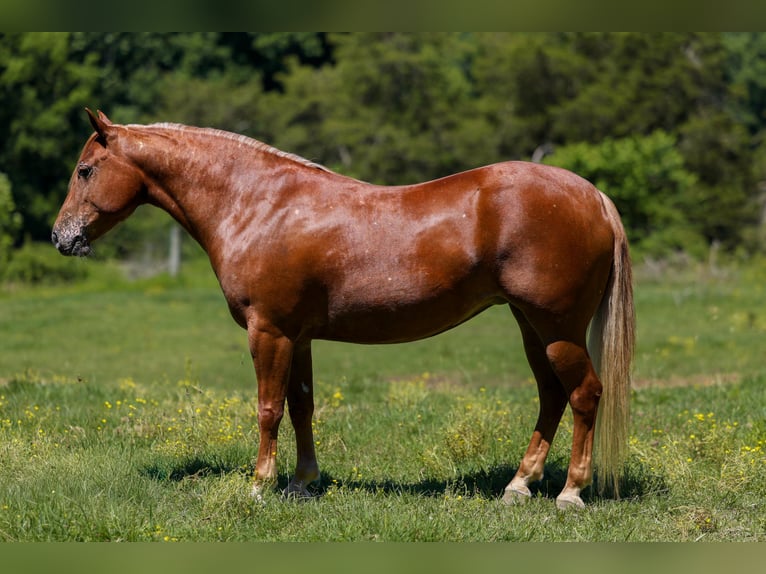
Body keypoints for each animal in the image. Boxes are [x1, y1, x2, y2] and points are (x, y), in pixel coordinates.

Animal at [52, 109, 634, 510]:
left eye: (85, 170)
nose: (61, 237)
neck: (258, 203)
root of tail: (592, 196)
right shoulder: (298, 336)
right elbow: (302, 406)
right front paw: (301, 483)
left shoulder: (269, 331)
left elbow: (268, 409)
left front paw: (259, 486)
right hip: (531, 325)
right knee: (551, 396)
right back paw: (519, 486)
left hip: (557, 327)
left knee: (584, 394)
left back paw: (570, 493)